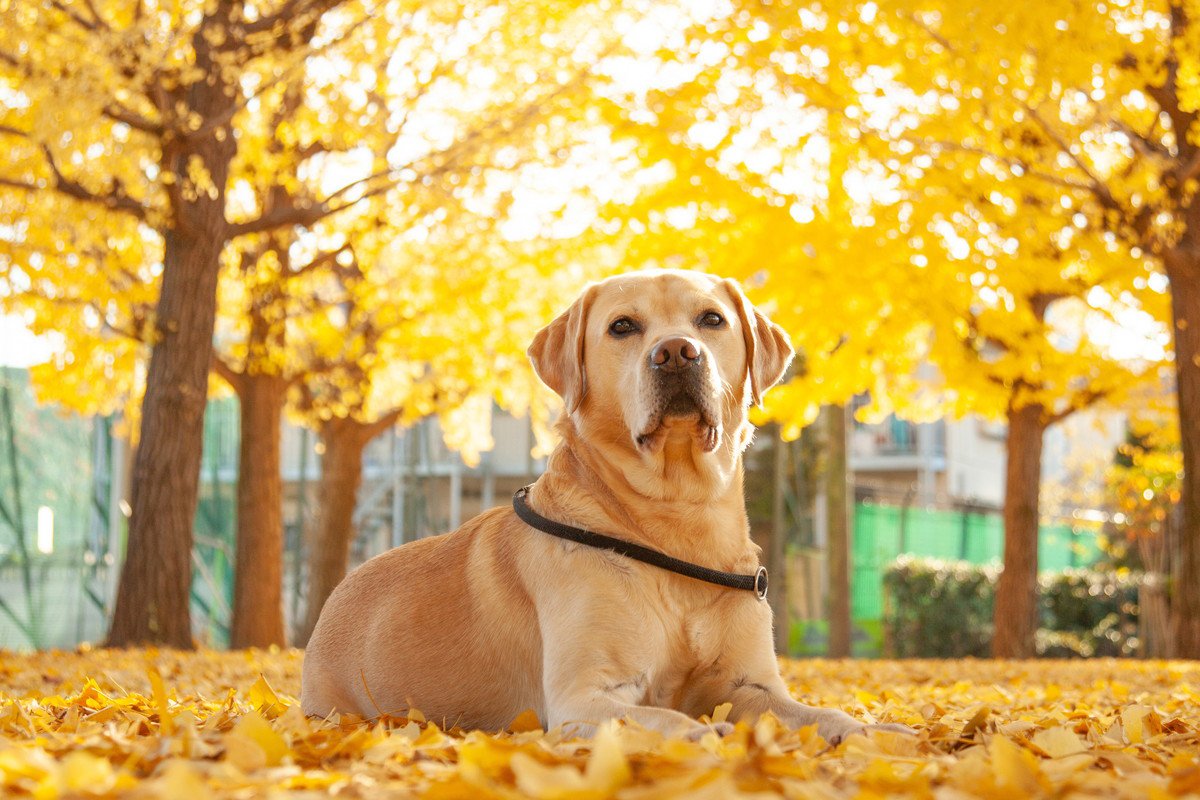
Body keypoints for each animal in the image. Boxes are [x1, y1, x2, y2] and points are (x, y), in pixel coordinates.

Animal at [304, 271, 902, 743]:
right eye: (622, 327)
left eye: (711, 319)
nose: (677, 351)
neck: (680, 520)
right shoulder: (583, 697)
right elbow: (664, 718)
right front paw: (702, 732)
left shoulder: (747, 684)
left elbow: (820, 714)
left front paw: (872, 729)